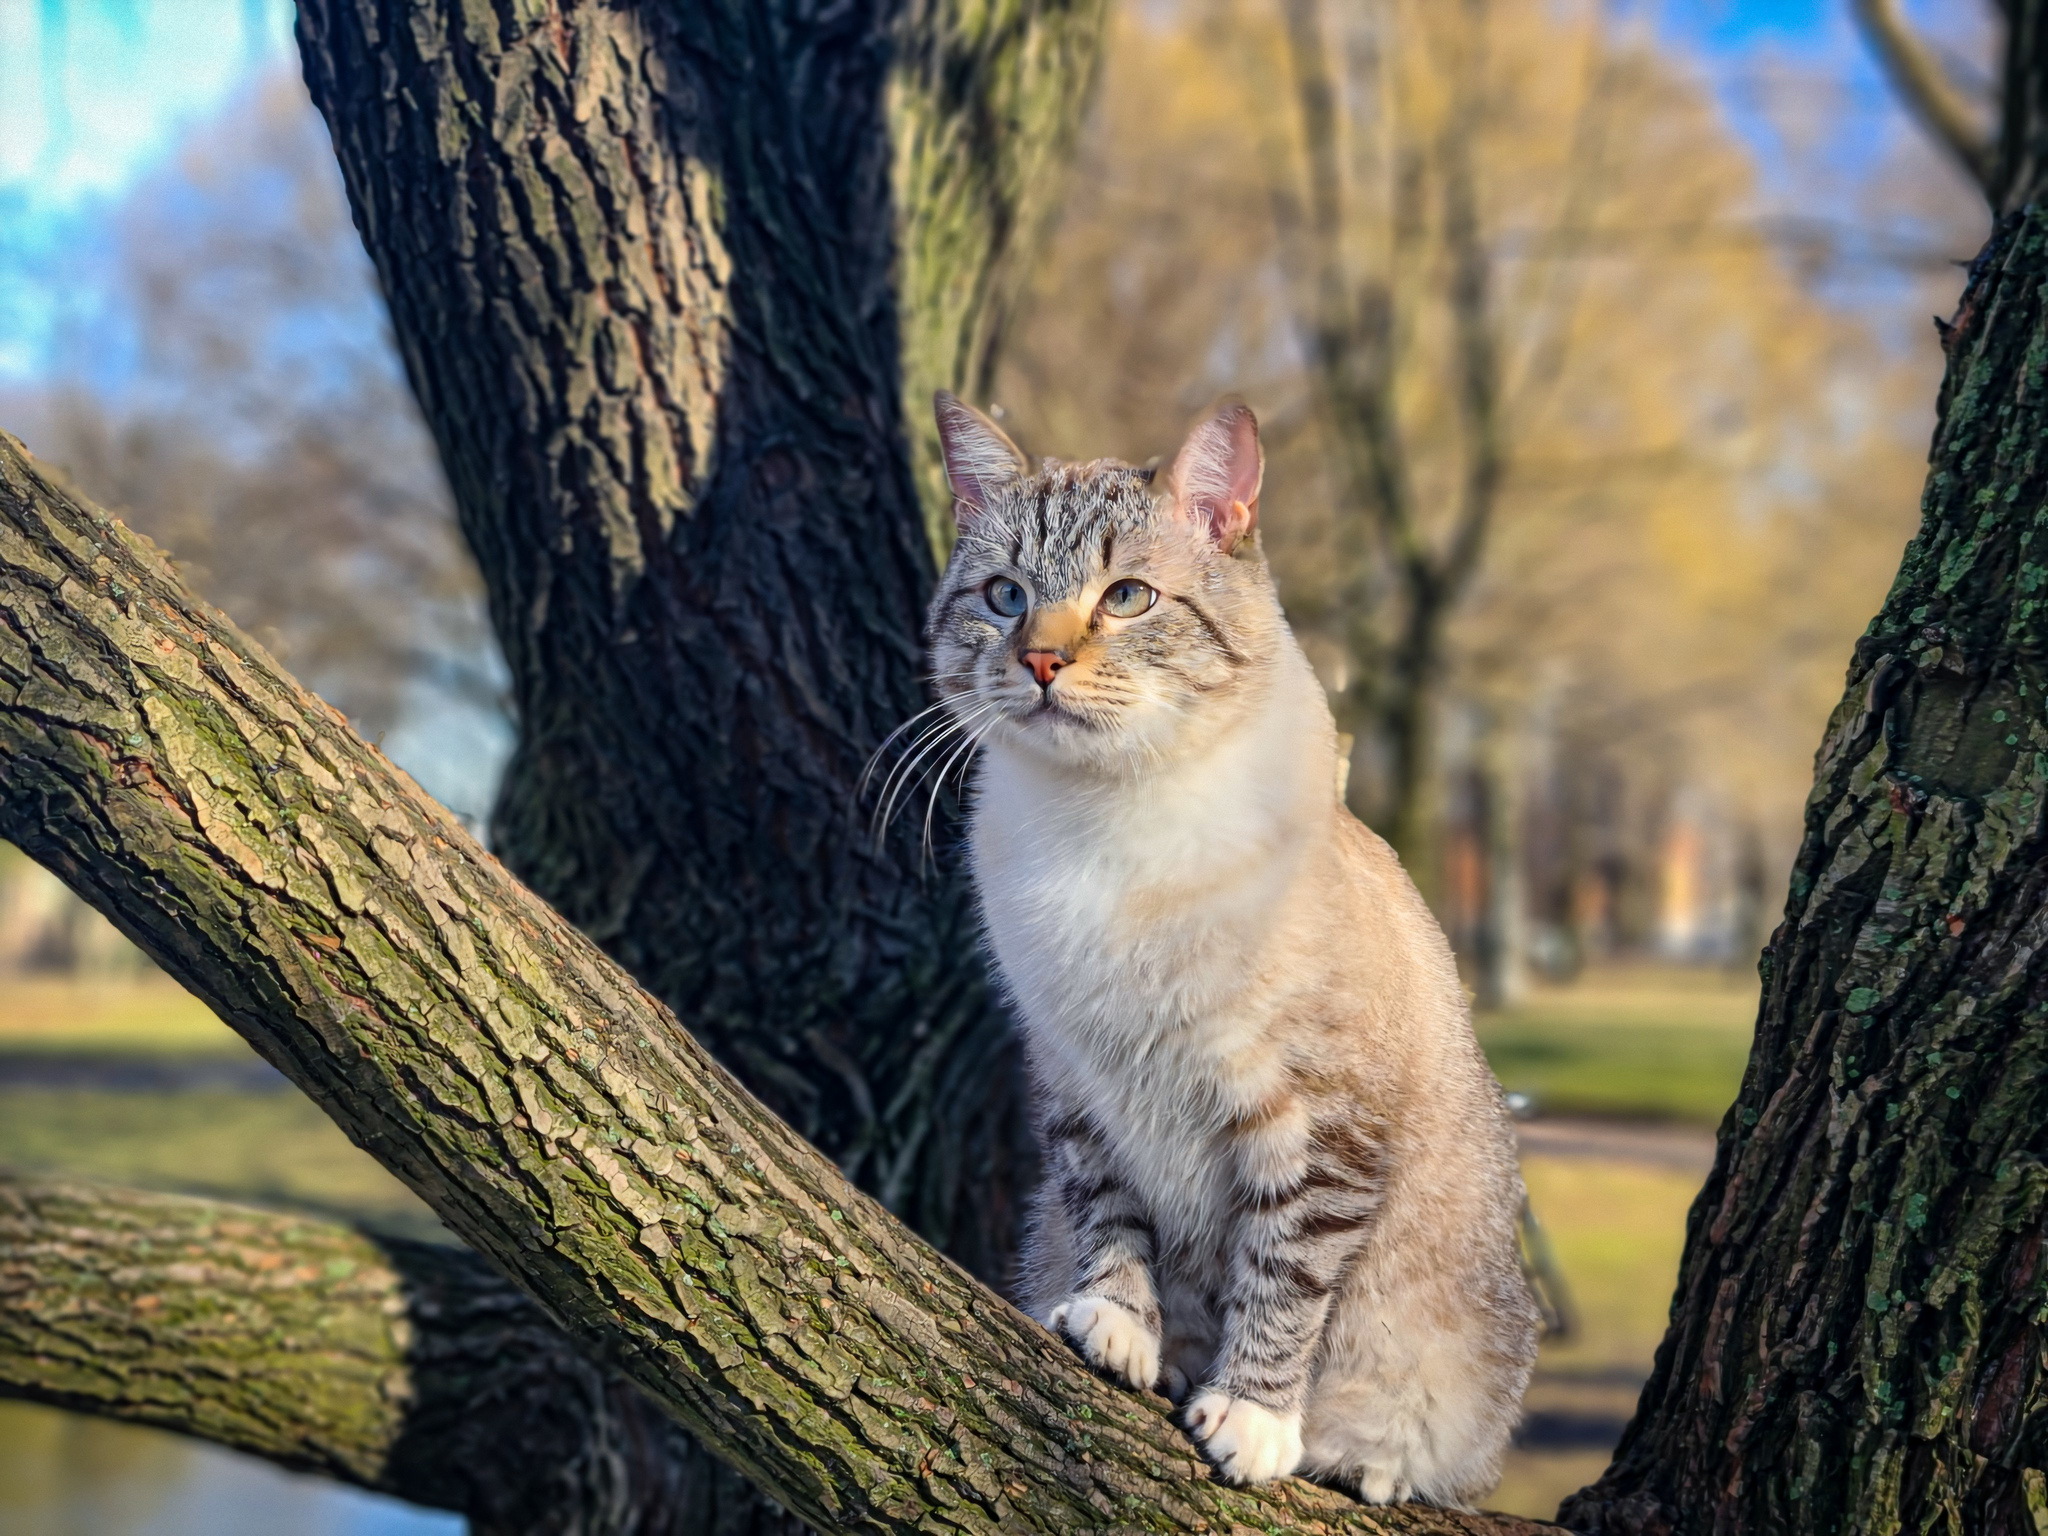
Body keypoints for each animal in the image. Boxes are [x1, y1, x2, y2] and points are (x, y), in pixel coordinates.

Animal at [917, 391, 1540, 1507]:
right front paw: (1121, 1330)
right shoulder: (1079, 1079)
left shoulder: (1316, 1120)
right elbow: (1109, 1215)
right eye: (1003, 596)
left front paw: (1251, 1417)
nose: (1040, 661)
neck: (1107, 824)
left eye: (1125, 597)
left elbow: (1283, 1277)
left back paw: (1363, 1461)